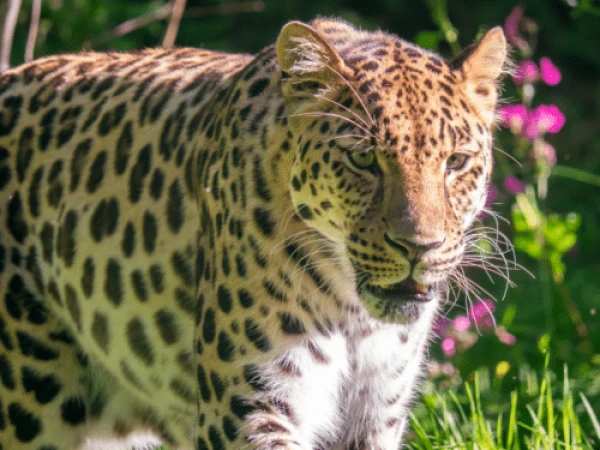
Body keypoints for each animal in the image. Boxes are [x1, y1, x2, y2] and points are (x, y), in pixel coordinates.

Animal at [0, 17, 507, 450]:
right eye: (362, 159)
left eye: (456, 161)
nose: (420, 247)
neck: (354, 316)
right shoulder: (251, 407)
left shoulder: (376, 412)